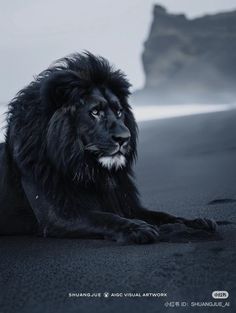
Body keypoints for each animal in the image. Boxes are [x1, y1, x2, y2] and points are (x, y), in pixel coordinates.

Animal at [0, 51, 216, 243]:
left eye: (119, 111)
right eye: (95, 112)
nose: (124, 138)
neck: (89, 168)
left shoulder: (127, 204)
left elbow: (163, 215)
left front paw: (196, 222)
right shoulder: (59, 215)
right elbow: (104, 217)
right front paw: (138, 228)